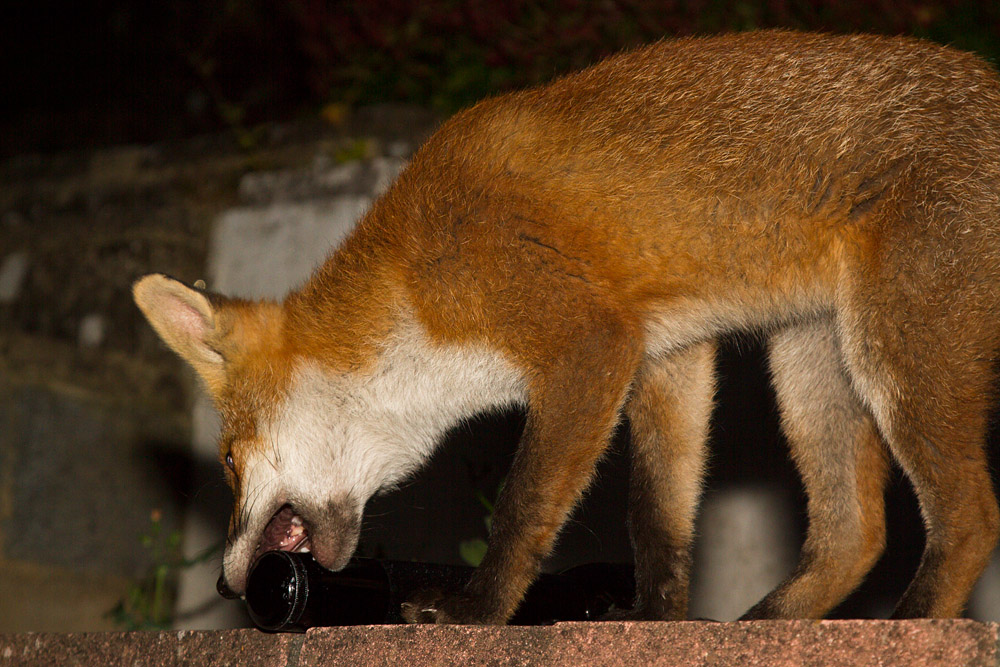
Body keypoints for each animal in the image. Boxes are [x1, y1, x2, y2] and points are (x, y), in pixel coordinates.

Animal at [133, 30, 1000, 623]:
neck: (413, 282)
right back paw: (768, 624)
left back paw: (913, 623)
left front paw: (476, 612)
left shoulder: (590, 341)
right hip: (814, 360)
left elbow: (523, 509)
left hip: (894, 351)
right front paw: (656, 621)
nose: (225, 585)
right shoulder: (666, 353)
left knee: (970, 517)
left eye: (227, 459)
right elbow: (657, 516)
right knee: (855, 534)